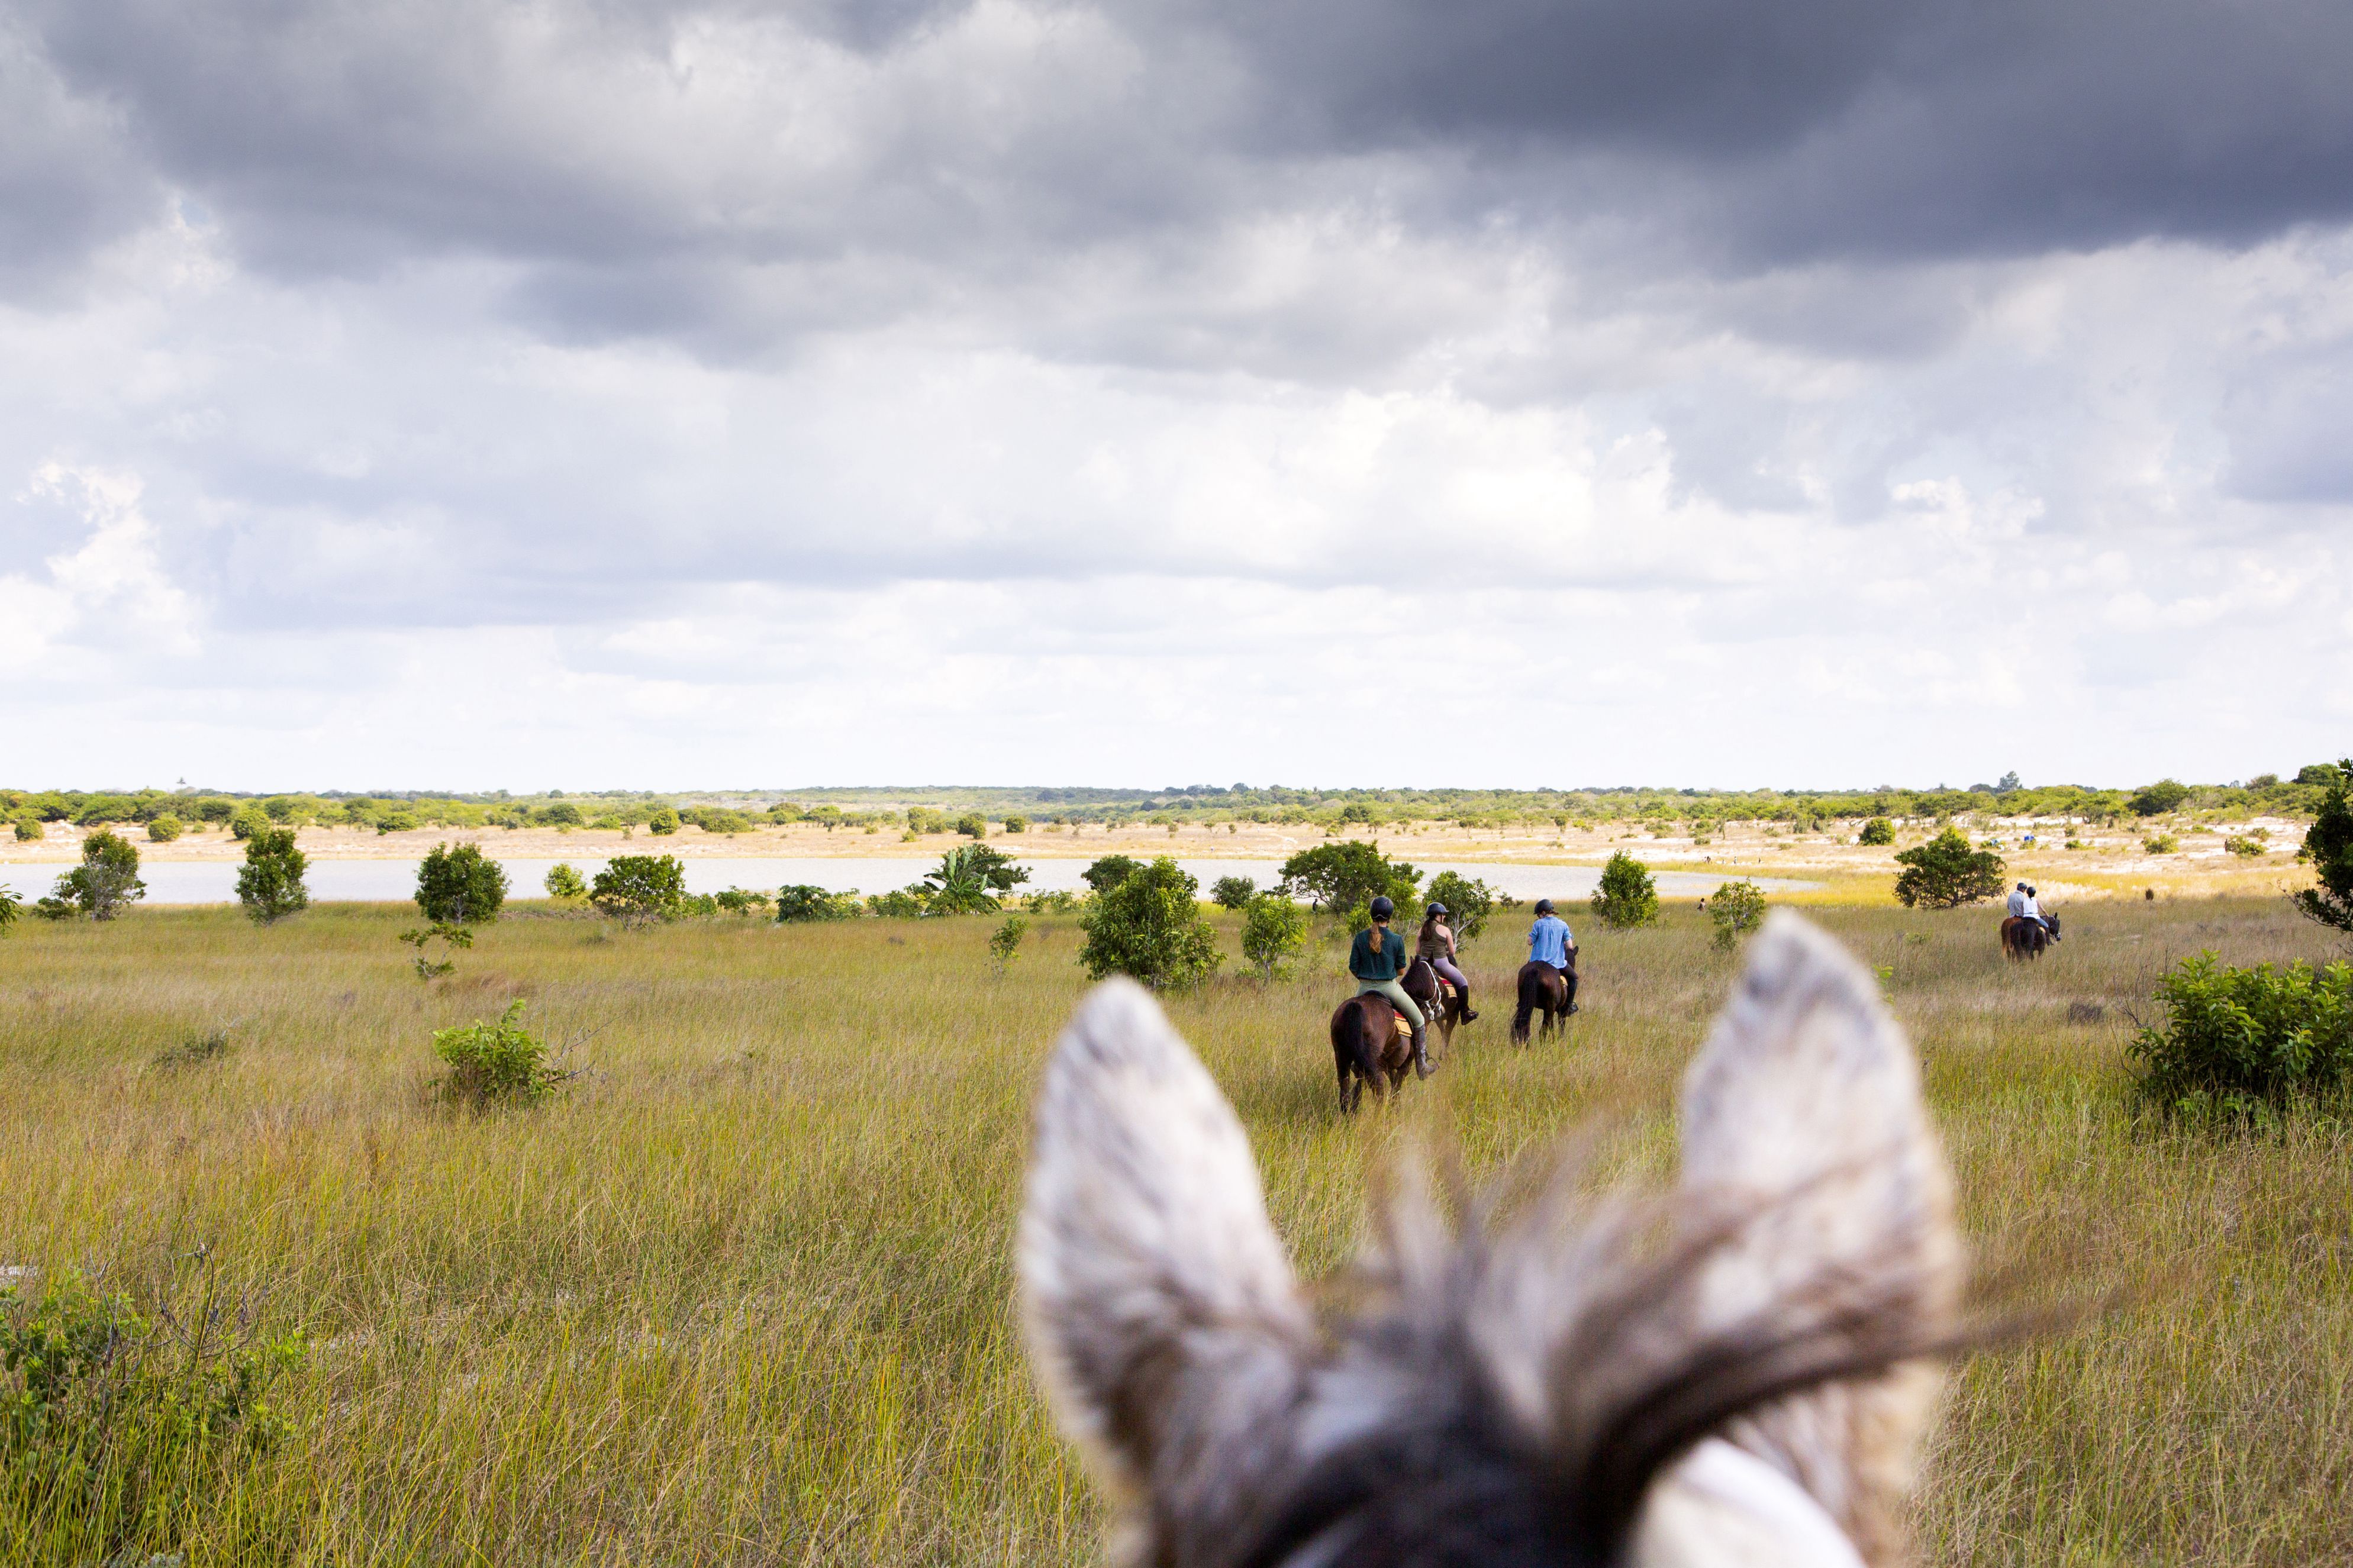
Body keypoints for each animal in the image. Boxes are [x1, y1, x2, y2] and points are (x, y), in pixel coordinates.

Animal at [1506, 946, 1581, 1045]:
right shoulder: (1561, 1011)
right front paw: (1560, 1041)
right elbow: (1561, 1027)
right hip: (1550, 1008)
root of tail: (1536, 971)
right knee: (1542, 1031)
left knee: (1526, 1027)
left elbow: (1552, 1027)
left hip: (1529, 1005)